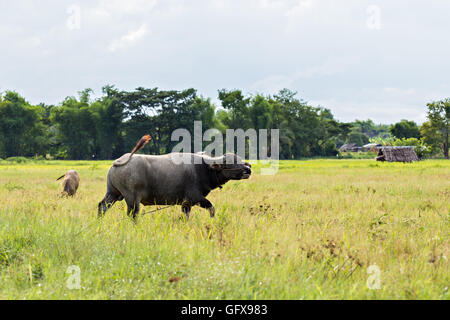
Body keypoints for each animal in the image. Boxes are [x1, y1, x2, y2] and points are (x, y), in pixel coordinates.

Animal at [97, 135, 250, 220]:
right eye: (230, 162)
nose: (248, 169)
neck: (203, 168)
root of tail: (118, 161)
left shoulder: (186, 204)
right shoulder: (195, 198)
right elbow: (212, 209)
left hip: (112, 193)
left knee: (102, 207)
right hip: (132, 199)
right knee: (133, 214)